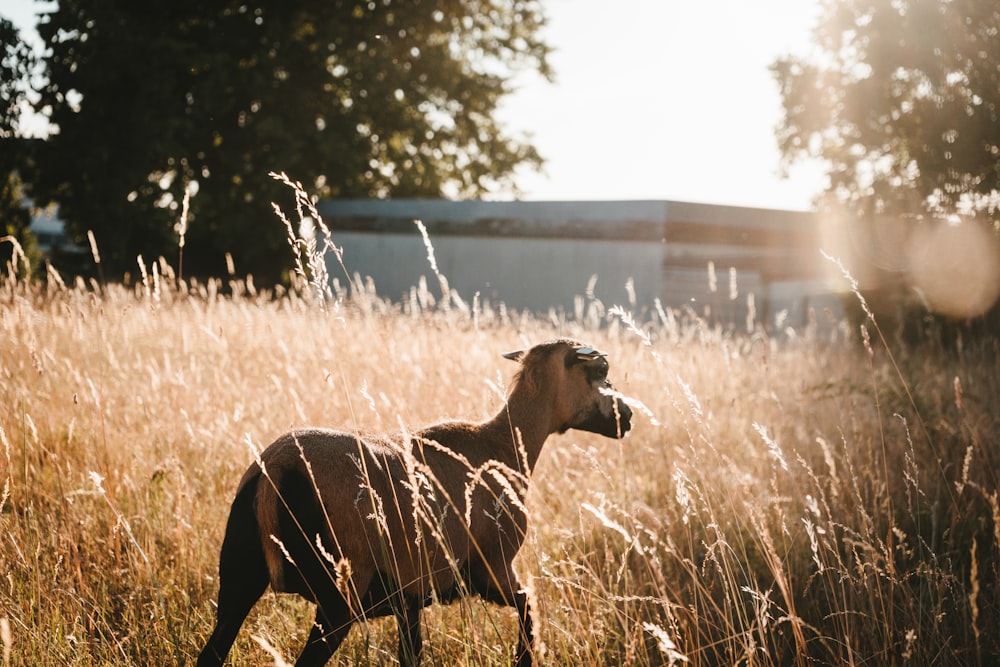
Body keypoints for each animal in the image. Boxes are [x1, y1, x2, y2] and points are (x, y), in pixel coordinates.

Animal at [196, 342, 632, 664]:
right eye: (600, 372)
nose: (626, 416)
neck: (505, 446)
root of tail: (275, 472)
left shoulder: (410, 594)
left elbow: (413, 654)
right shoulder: (489, 566)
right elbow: (529, 607)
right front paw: (524, 660)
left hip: (239, 574)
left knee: (211, 653)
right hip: (339, 593)